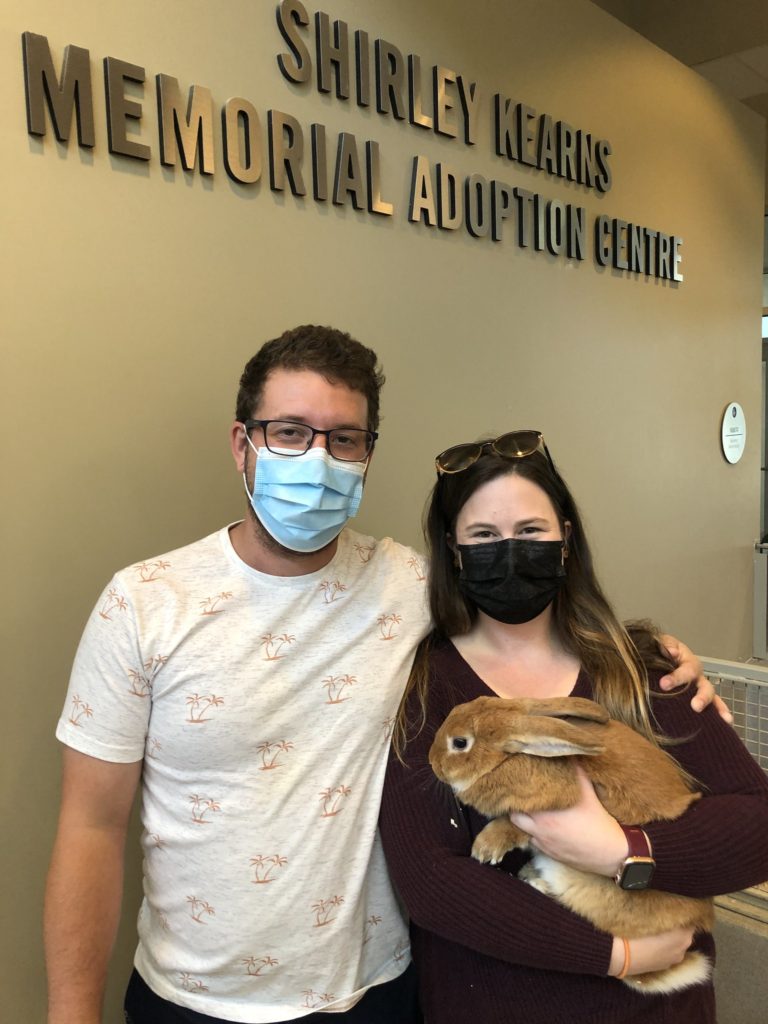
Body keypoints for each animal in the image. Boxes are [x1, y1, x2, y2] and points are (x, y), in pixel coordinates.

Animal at [430, 692, 720, 995]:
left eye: (459, 743)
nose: (432, 763)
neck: (509, 757)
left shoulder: (552, 801)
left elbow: (512, 822)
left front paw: (486, 848)